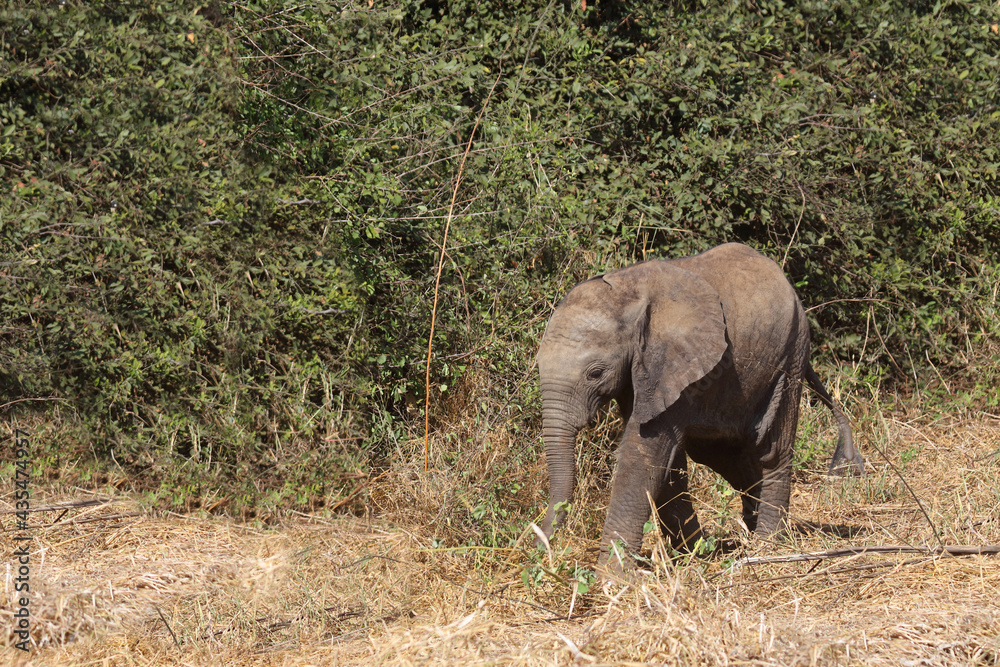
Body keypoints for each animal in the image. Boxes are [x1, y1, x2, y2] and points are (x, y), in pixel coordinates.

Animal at [535, 242, 864, 567]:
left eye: (595, 374)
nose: (542, 546)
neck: (626, 290)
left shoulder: (674, 362)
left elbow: (644, 454)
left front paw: (612, 577)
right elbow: (667, 465)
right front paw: (695, 554)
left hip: (791, 354)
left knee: (771, 449)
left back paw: (766, 544)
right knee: (726, 454)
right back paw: (748, 532)